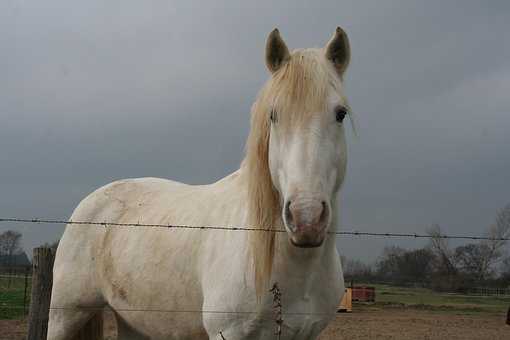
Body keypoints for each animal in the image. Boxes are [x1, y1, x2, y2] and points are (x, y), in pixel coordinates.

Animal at [49, 27, 352, 340]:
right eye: (273, 115)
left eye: (340, 113)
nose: (307, 218)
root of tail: (94, 198)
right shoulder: (227, 332)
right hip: (65, 313)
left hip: (132, 319)